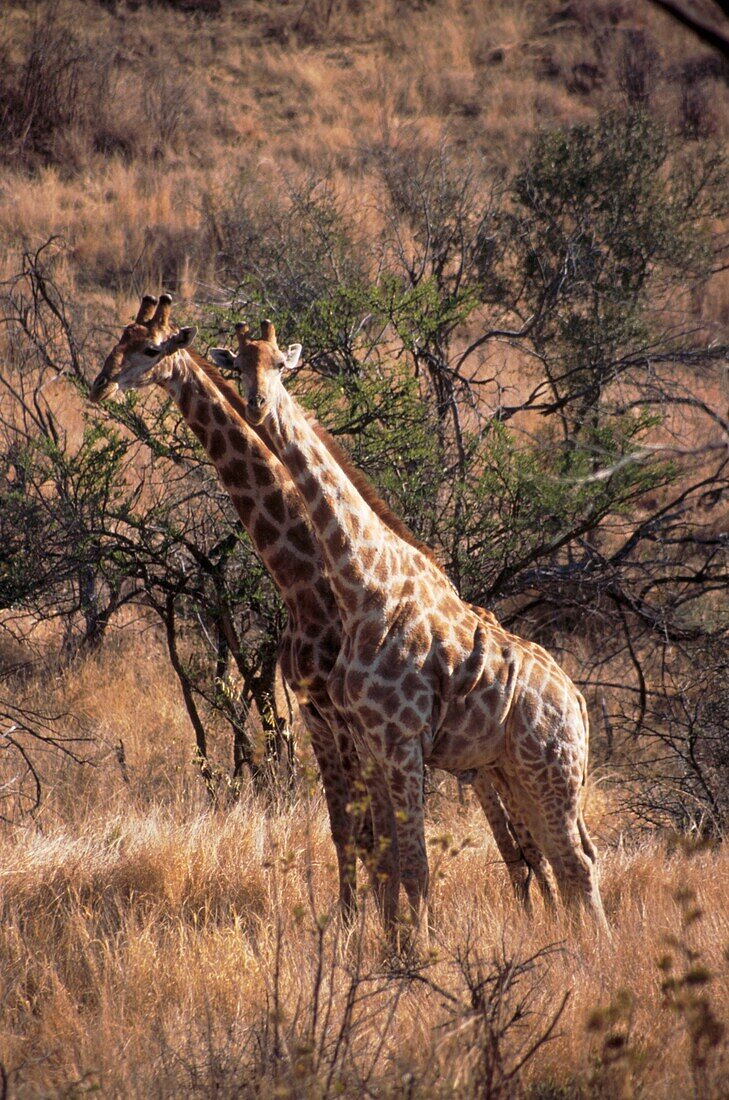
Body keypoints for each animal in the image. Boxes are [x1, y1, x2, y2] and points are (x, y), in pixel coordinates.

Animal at [219, 319, 606, 937]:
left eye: (281, 364)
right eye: (238, 364)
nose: (256, 405)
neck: (363, 583)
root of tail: (577, 700)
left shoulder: (402, 741)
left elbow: (416, 865)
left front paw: (420, 952)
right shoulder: (371, 741)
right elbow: (389, 859)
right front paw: (392, 948)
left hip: (552, 770)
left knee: (576, 862)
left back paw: (595, 952)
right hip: (523, 772)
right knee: (569, 858)